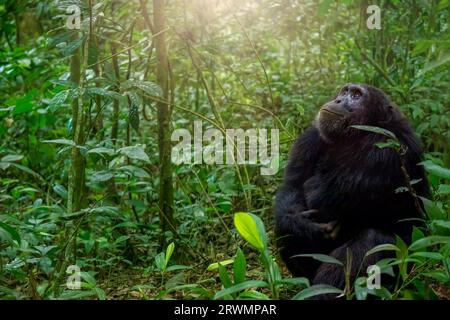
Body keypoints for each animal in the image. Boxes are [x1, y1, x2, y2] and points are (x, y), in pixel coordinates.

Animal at [274, 84, 428, 296]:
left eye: (356, 95)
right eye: (344, 91)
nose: (338, 100)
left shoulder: (384, 150)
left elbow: (317, 193)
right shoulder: (311, 136)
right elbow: (293, 184)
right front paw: (300, 223)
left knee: (372, 241)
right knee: (284, 226)